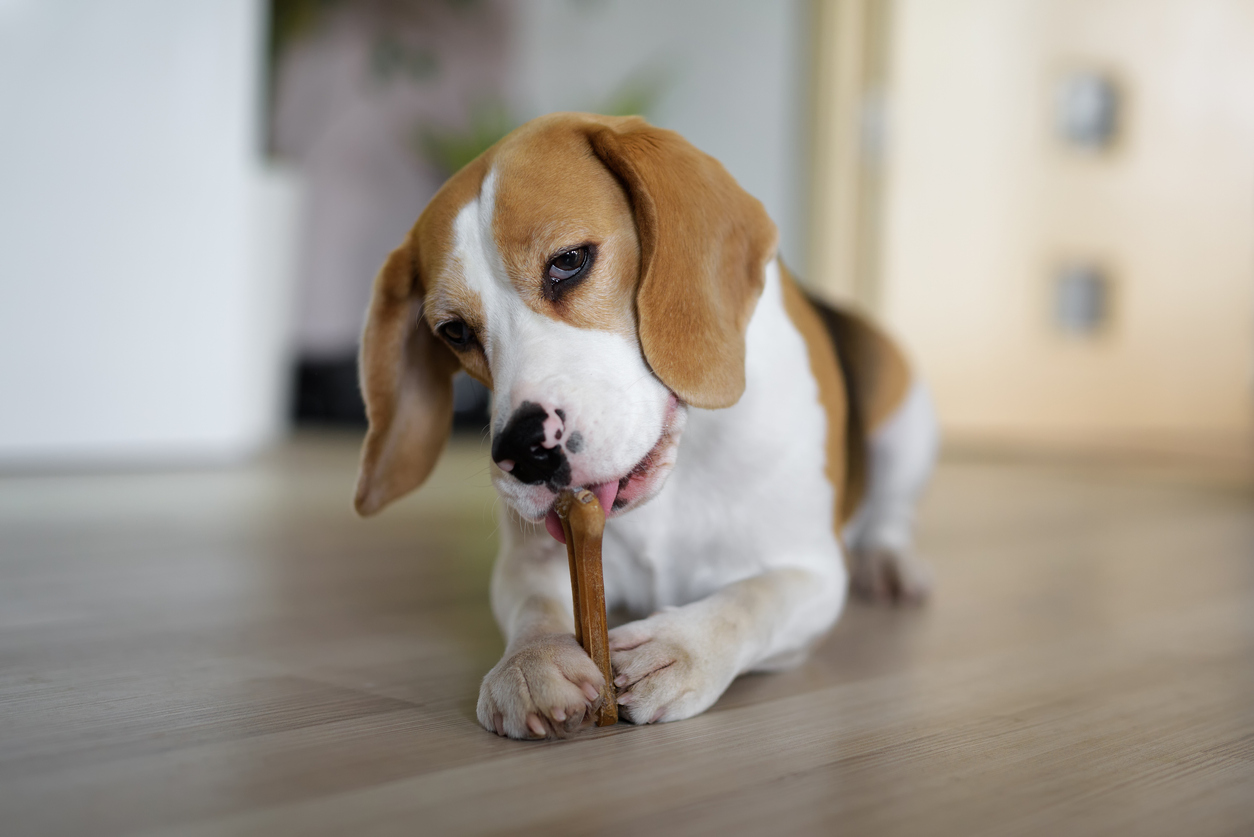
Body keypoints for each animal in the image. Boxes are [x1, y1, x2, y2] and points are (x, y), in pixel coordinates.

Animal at [356, 111, 943, 737]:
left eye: (569, 261)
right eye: (455, 332)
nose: (525, 451)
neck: (680, 464)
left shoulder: (813, 571)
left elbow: (752, 600)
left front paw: (680, 649)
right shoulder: (532, 559)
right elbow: (535, 603)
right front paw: (531, 662)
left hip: (906, 428)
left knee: (890, 513)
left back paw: (891, 564)